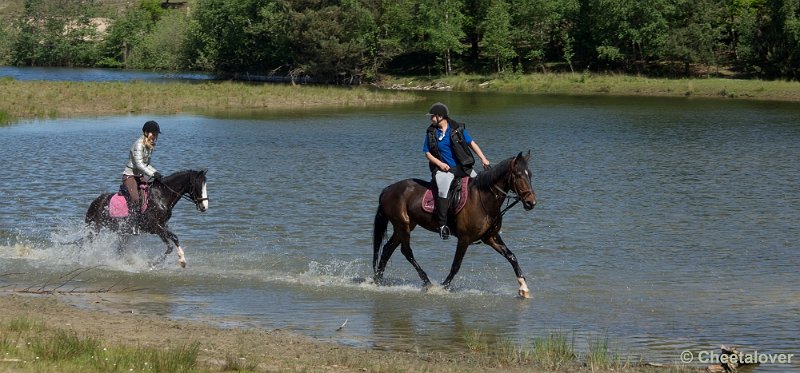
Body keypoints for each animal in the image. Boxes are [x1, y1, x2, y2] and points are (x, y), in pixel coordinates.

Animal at [374, 150, 536, 296]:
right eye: (519, 175)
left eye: (530, 175)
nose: (531, 202)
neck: (483, 200)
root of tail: (388, 189)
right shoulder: (464, 239)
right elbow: (456, 265)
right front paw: (444, 287)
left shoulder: (490, 237)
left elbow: (511, 256)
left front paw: (524, 287)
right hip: (403, 225)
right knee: (406, 252)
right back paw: (427, 283)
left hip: (403, 226)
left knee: (388, 249)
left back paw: (378, 281)